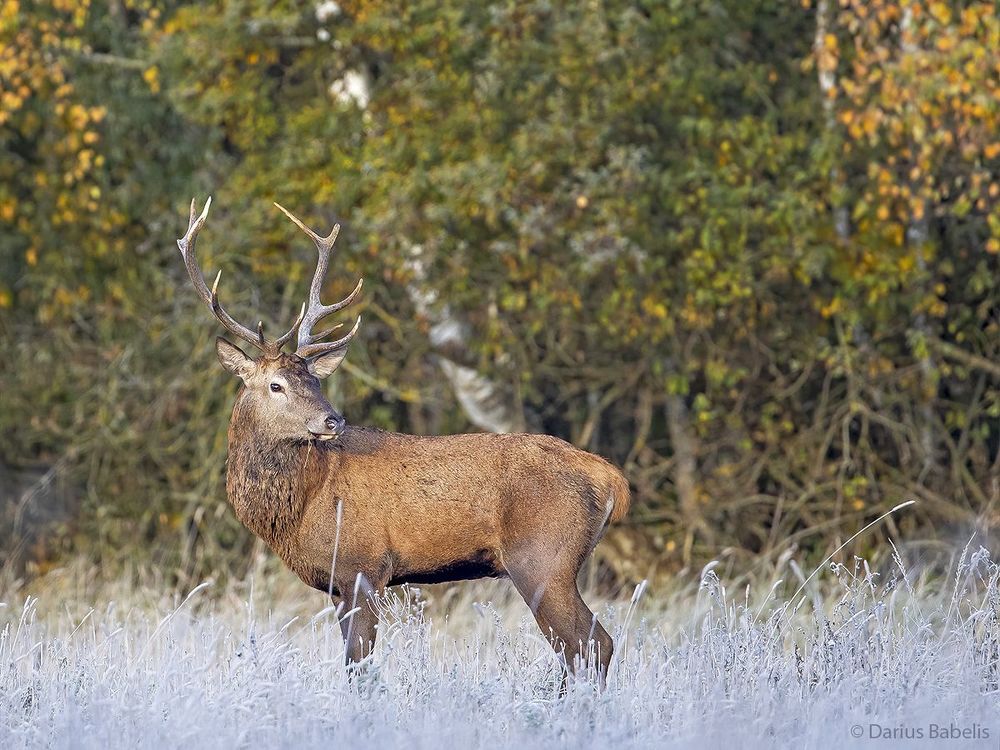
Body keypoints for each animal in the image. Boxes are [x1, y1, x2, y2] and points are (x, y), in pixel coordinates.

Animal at [176, 197, 630, 686]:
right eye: (276, 385)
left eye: (314, 379)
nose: (333, 419)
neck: (302, 505)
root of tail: (610, 478)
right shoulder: (337, 584)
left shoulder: (362, 565)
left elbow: (358, 665)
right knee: (582, 647)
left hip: (544, 558)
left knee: (590, 642)